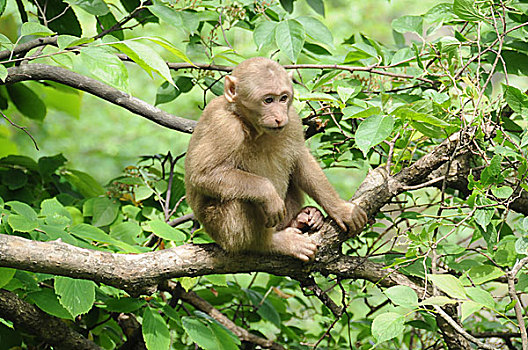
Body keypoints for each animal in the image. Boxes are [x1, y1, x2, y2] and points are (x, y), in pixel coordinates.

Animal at [186, 56, 368, 260]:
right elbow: (203, 175)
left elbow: (300, 159)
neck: (252, 126)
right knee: (237, 198)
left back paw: (302, 219)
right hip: (222, 231)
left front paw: (340, 209)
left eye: (283, 98)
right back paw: (269, 243)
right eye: (268, 100)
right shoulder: (224, 126)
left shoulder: (293, 119)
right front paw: (268, 193)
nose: (279, 116)